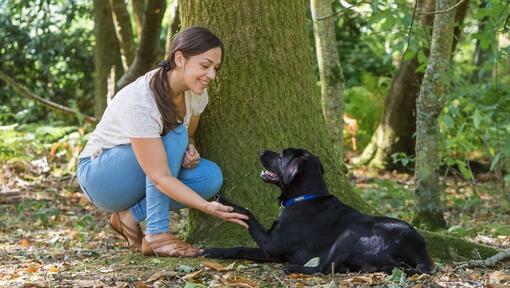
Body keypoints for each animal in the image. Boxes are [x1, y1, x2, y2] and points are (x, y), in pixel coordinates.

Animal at [201, 148, 432, 274]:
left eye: (282, 154)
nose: (260, 151)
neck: (305, 198)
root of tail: (420, 250)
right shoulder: (271, 251)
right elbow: (240, 247)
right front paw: (213, 250)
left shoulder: (270, 243)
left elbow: (248, 213)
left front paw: (224, 201)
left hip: (351, 233)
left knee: (324, 269)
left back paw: (294, 268)